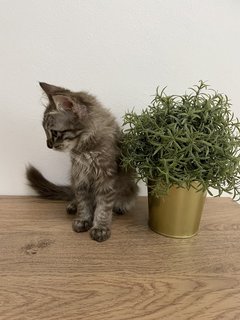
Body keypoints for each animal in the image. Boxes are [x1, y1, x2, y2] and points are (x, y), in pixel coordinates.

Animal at [26, 82, 138, 242]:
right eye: (46, 132)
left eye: (54, 132)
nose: (48, 145)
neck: (85, 150)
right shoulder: (80, 175)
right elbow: (83, 201)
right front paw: (83, 219)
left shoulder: (107, 176)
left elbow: (103, 206)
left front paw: (100, 227)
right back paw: (73, 205)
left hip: (129, 186)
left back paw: (120, 205)